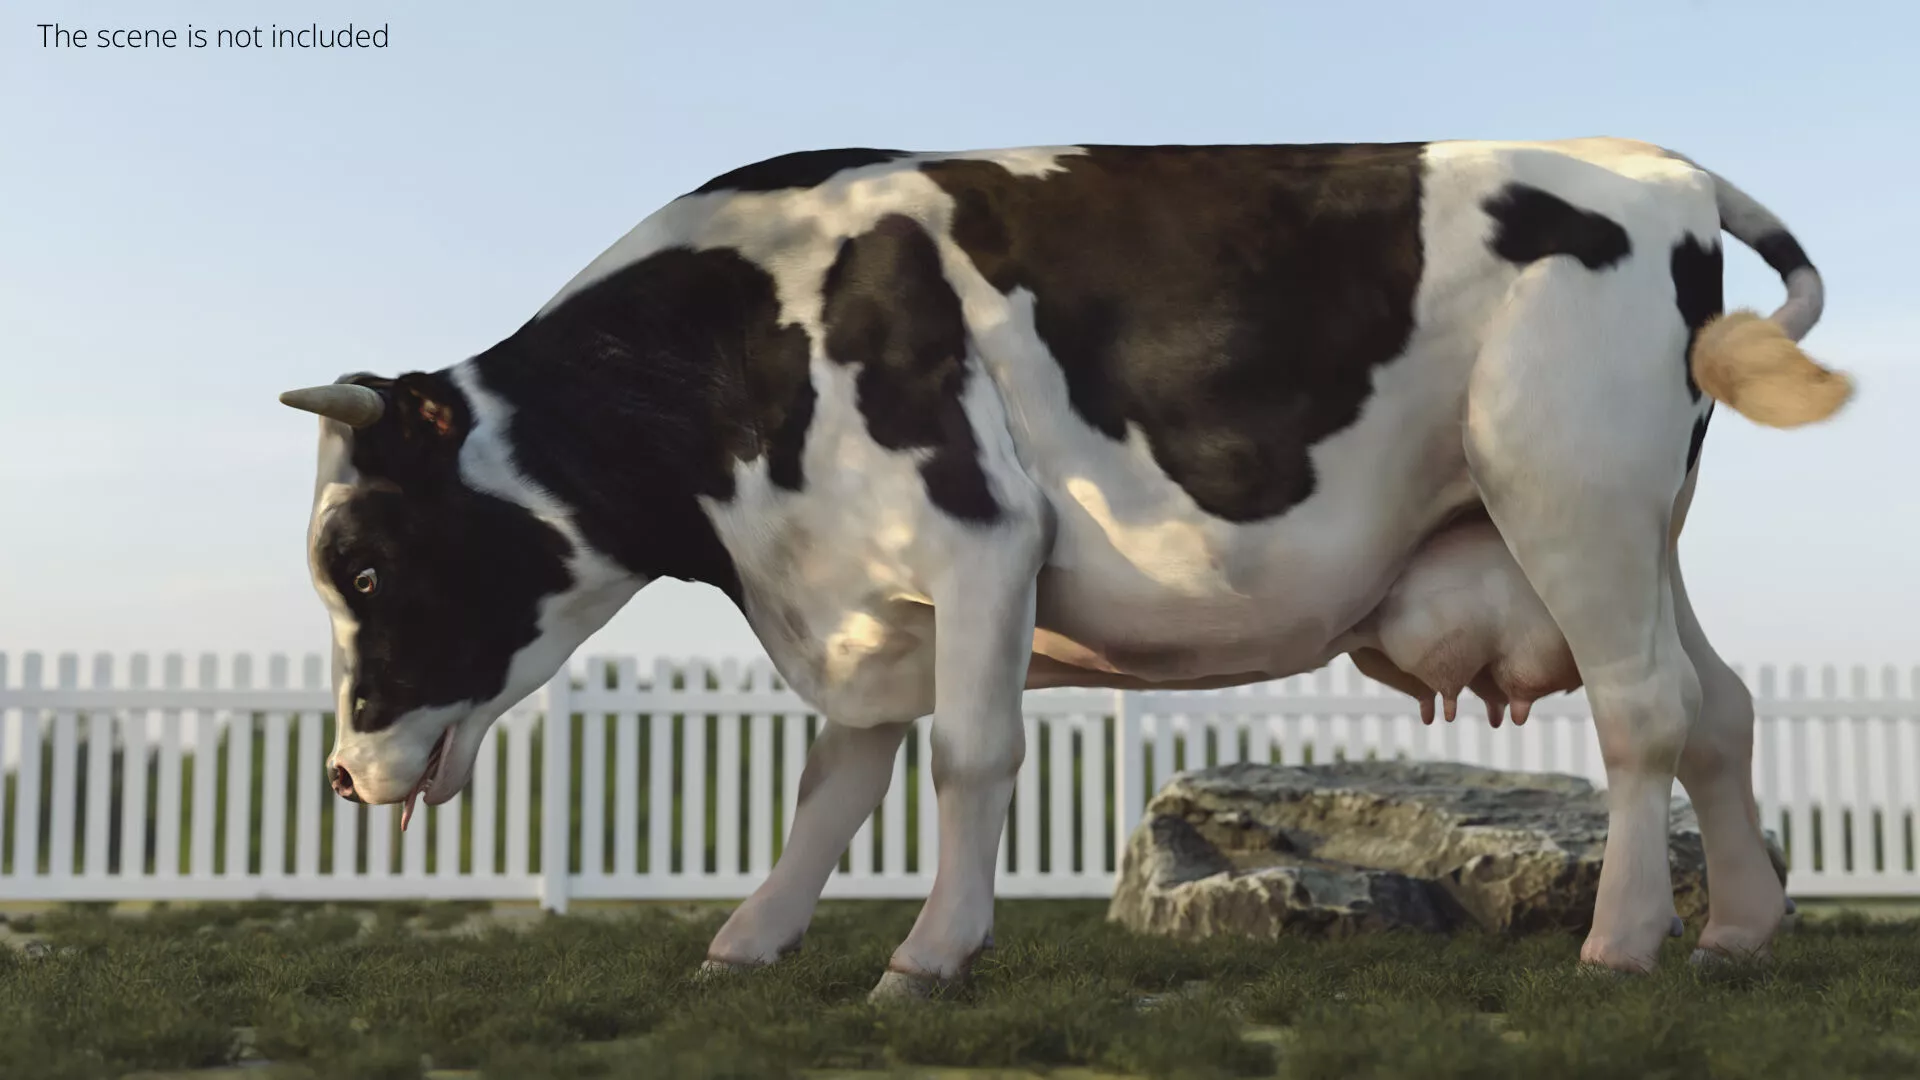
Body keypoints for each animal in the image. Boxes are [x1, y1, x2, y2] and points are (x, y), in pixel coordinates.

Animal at [279, 137, 1851, 999]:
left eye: (362, 562)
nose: (345, 777)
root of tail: (1653, 164)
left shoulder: (979, 534)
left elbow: (968, 758)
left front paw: (927, 960)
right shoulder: (860, 601)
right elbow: (832, 783)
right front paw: (751, 942)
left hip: (1567, 488)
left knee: (1642, 711)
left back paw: (1628, 942)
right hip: (1640, 525)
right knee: (1717, 707)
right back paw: (1741, 936)